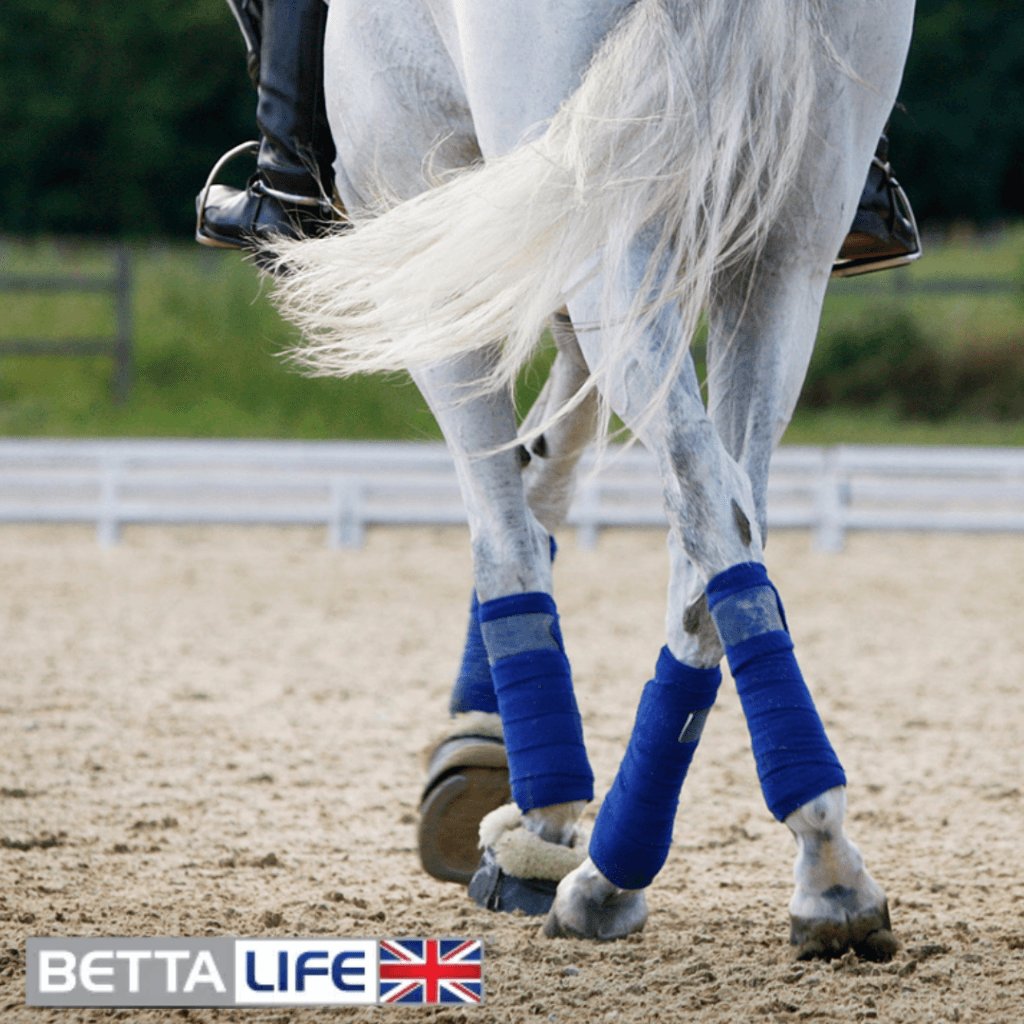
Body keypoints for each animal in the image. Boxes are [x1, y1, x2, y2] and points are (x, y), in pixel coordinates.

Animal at [271, 0, 915, 957]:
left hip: (598, 217)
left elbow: (505, 530)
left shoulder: (427, 201)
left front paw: (521, 803)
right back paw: (640, 871)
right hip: (784, 249)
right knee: (721, 529)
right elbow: (550, 458)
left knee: (700, 507)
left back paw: (812, 863)